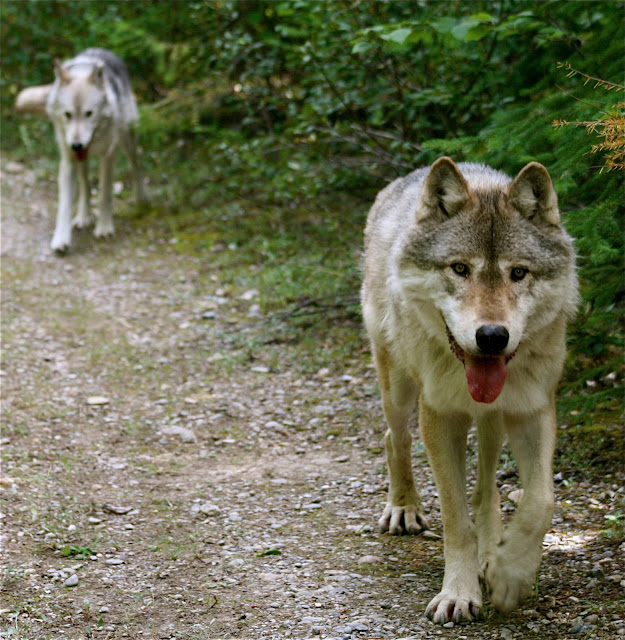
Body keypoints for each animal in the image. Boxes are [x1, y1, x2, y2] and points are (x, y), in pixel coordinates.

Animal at [15, 48, 146, 252]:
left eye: (89, 113)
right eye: (68, 114)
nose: (77, 145)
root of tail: (102, 50)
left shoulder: (107, 156)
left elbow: (104, 194)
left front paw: (104, 227)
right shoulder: (69, 160)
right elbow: (65, 204)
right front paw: (61, 238)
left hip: (127, 138)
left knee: (136, 163)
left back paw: (141, 199)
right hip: (81, 161)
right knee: (85, 184)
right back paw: (84, 216)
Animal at [361, 157, 578, 623]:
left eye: (518, 272)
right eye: (460, 268)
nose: (492, 337)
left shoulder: (533, 410)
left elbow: (540, 502)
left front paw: (510, 573)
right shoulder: (440, 416)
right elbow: (456, 519)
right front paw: (459, 594)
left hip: (494, 419)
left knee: (486, 487)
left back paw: (490, 552)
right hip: (399, 391)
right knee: (394, 437)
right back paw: (404, 507)